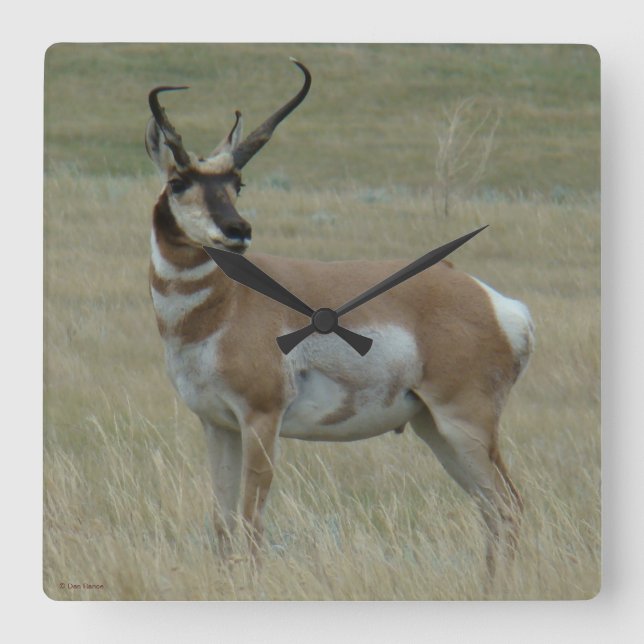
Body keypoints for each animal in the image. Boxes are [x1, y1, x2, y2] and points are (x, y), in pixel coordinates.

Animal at [145, 59, 534, 578]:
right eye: (178, 182)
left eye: (237, 183)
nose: (237, 229)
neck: (225, 304)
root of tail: (496, 303)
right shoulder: (218, 424)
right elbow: (223, 525)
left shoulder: (261, 420)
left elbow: (250, 524)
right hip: (436, 430)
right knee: (493, 510)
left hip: (464, 425)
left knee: (509, 507)